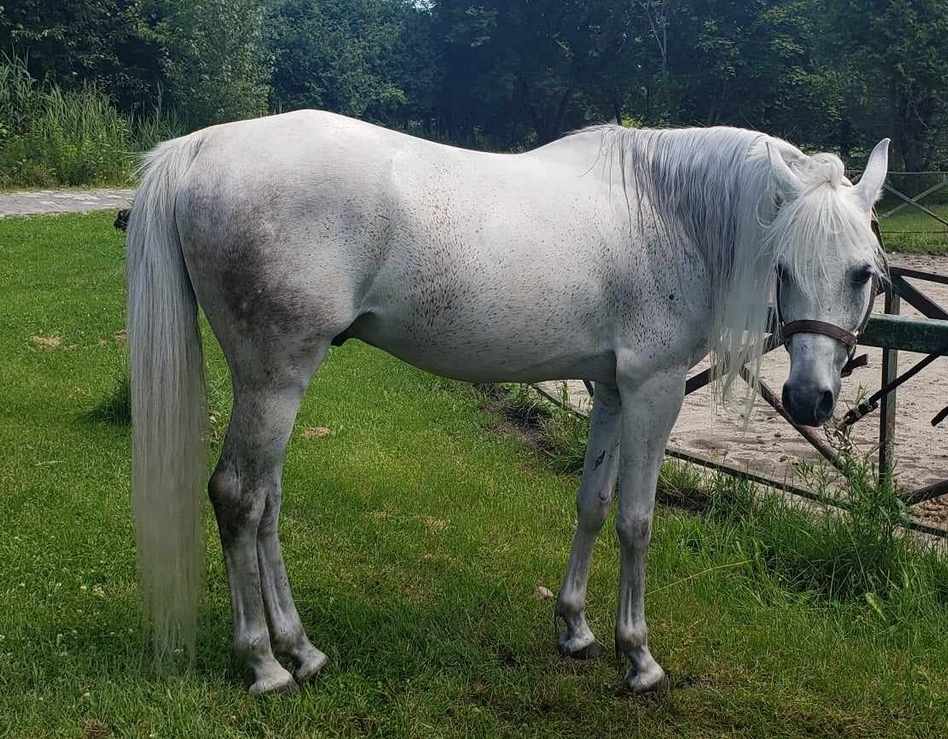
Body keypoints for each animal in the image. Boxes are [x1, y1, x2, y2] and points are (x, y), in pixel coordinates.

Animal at [126, 109, 889, 694]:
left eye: (864, 272)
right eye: (782, 265)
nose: (811, 400)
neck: (664, 213)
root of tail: (201, 148)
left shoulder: (612, 391)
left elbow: (592, 503)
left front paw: (575, 627)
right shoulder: (655, 388)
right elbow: (637, 520)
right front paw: (638, 656)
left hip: (277, 385)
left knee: (267, 503)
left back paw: (301, 649)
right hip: (275, 378)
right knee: (239, 497)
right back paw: (263, 663)